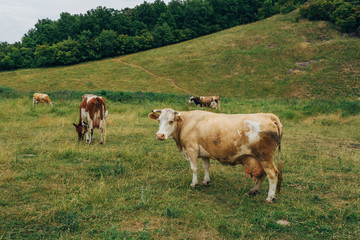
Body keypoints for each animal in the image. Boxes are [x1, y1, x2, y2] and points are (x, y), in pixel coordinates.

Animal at [148, 108, 282, 203]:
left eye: (171, 121)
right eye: (159, 120)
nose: (159, 135)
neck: (186, 122)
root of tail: (269, 116)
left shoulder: (192, 149)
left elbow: (194, 168)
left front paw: (194, 183)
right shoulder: (204, 152)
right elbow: (206, 166)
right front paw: (206, 181)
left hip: (265, 157)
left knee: (272, 174)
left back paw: (269, 198)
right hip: (260, 158)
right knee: (263, 174)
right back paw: (253, 191)